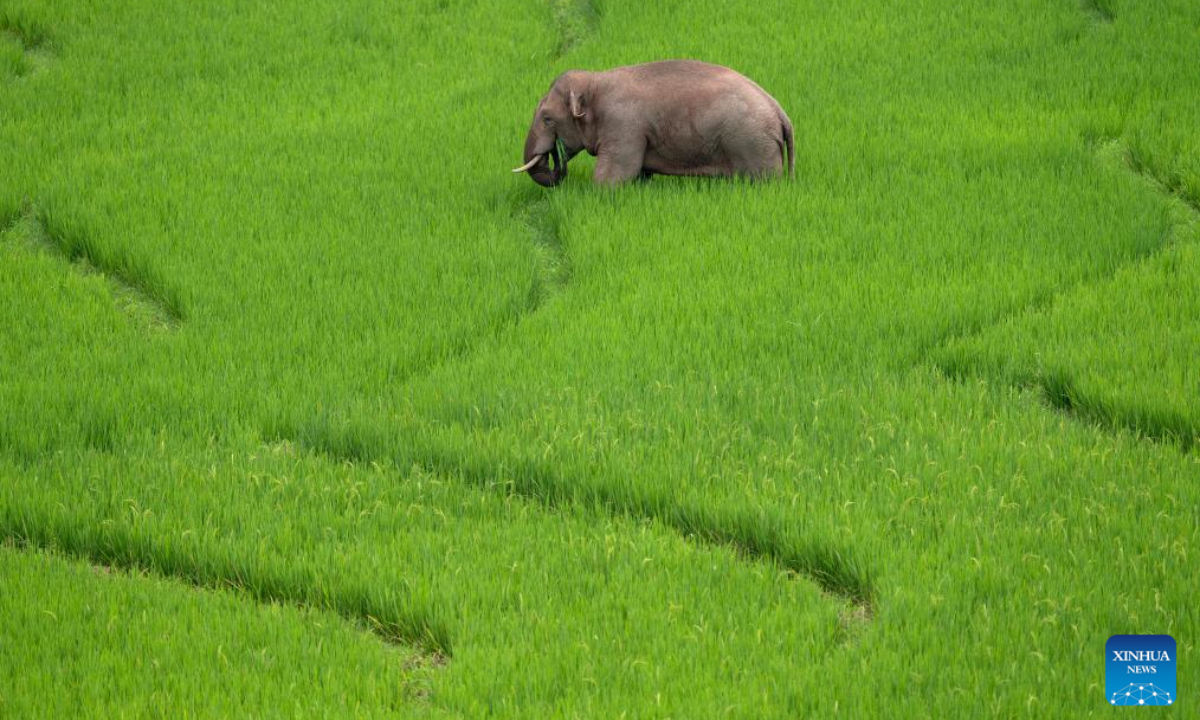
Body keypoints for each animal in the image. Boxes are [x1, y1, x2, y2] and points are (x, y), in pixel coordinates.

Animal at [513, 60, 794, 187]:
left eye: (548, 119)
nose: (556, 159)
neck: (594, 81)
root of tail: (780, 112)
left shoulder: (623, 127)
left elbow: (614, 177)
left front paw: (599, 191)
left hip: (753, 144)